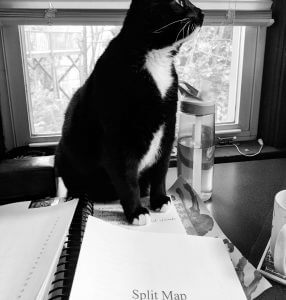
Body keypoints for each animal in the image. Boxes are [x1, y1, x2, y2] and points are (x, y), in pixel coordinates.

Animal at [55, 0, 203, 225]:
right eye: (179, 2)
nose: (202, 12)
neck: (156, 61)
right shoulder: (117, 141)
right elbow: (127, 179)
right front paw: (136, 211)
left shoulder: (167, 129)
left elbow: (160, 170)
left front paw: (159, 199)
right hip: (63, 156)